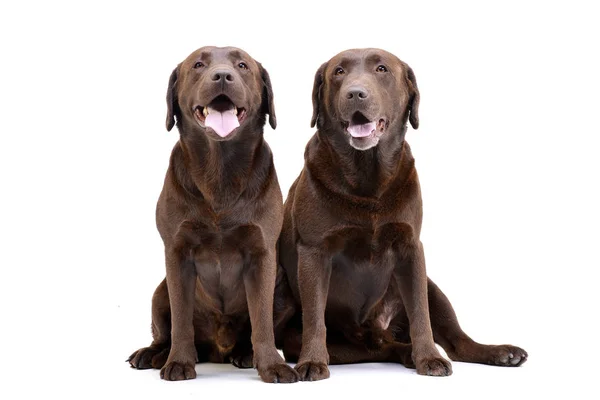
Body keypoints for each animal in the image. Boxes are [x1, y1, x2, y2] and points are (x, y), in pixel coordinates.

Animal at [129, 45, 300, 382]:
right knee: (165, 330)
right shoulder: (178, 253)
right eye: (198, 65)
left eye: (242, 65)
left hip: (284, 290)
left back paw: (244, 355)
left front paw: (272, 365)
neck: (220, 169)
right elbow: (181, 320)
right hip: (159, 291)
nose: (222, 76)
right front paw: (179, 362)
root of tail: (218, 350)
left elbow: (261, 319)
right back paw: (154, 354)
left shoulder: (261, 254)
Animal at [274, 48, 528, 380]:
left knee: (457, 344)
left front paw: (429, 357)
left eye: (382, 69)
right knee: (379, 348)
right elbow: (315, 316)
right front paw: (312, 362)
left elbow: (420, 314)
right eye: (339, 72)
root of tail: (377, 330)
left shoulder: (411, 248)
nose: (356, 93)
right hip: (310, 332)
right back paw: (405, 353)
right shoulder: (314, 252)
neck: (368, 180)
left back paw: (499, 352)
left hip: (433, 288)